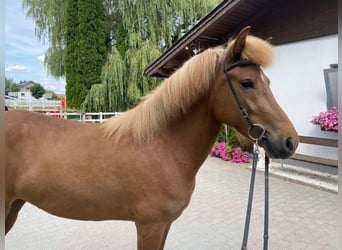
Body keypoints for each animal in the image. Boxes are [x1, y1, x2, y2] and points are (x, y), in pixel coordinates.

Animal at [4, 26, 296, 249]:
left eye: (268, 82)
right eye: (247, 83)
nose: (290, 141)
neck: (162, 146)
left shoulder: (164, 225)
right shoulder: (150, 226)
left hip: (13, 207)